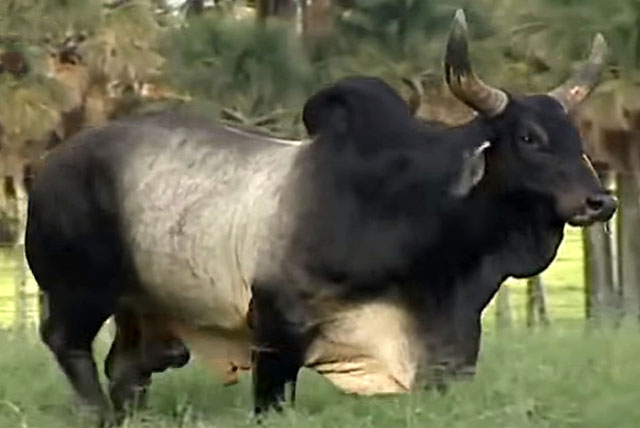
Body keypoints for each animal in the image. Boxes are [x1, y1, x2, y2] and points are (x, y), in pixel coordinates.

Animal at [25, 9, 616, 425]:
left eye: (575, 136)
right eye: (529, 138)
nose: (601, 202)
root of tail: (49, 166)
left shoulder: (448, 355)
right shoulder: (275, 333)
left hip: (142, 311)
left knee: (126, 370)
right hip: (79, 291)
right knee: (66, 344)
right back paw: (95, 412)